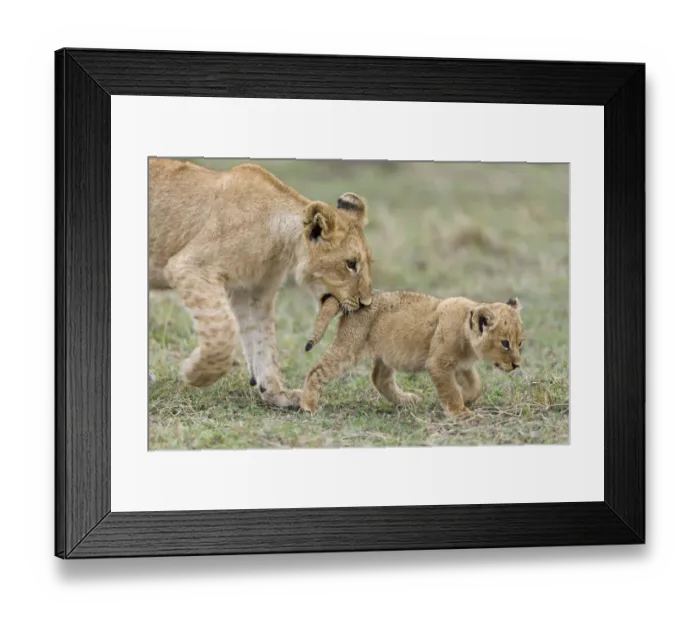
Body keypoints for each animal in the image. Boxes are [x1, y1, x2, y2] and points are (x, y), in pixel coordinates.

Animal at [148, 158, 373, 408]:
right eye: (351, 264)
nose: (366, 302)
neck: (280, 241)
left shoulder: (254, 291)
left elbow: (263, 342)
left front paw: (276, 393)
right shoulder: (190, 266)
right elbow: (222, 332)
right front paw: (195, 374)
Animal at [300, 292, 524, 417]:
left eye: (520, 343)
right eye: (505, 344)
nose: (516, 365)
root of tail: (352, 302)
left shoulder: (462, 366)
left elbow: (476, 385)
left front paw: (466, 399)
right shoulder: (438, 364)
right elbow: (451, 390)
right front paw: (460, 413)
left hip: (386, 352)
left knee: (379, 378)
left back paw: (406, 401)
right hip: (349, 347)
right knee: (316, 371)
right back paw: (308, 406)